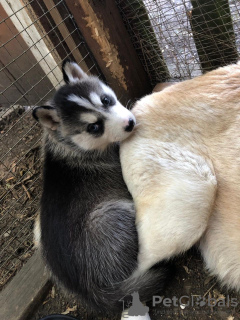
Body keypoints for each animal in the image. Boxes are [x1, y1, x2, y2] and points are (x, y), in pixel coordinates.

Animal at [32, 60, 171, 318]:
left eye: (106, 100)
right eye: (94, 127)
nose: (130, 124)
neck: (70, 146)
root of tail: (92, 294)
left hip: (38, 234)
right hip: (111, 214)